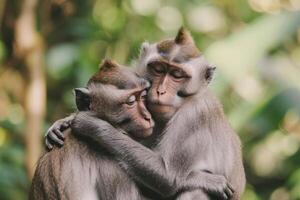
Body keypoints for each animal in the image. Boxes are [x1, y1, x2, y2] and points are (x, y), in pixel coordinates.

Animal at [45, 27, 245, 199]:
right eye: (158, 69)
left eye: (177, 75)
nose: (160, 91)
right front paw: (63, 122)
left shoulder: (194, 115)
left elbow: (169, 177)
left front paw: (91, 124)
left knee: (196, 191)